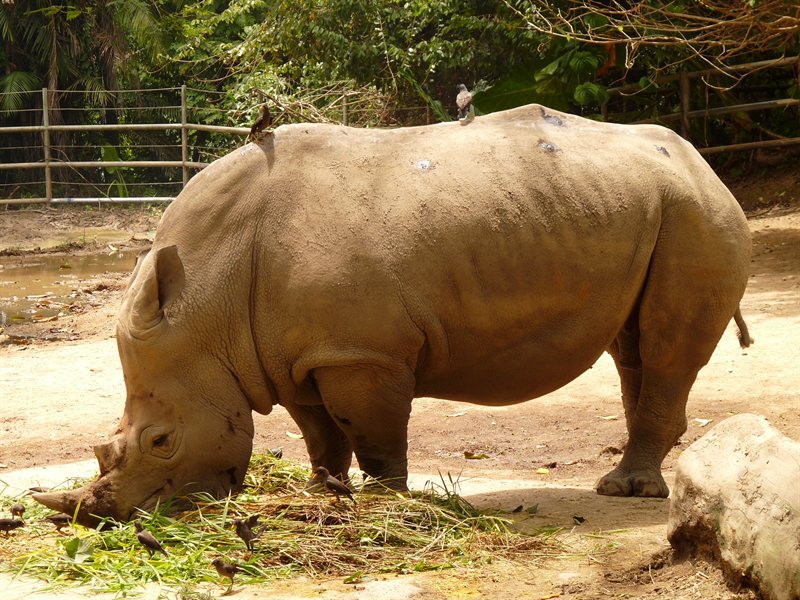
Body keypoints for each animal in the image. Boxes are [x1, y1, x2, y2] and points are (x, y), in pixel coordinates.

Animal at [34, 104, 751, 525]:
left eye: (161, 442)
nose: (96, 516)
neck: (206, 307)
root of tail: (701, 161)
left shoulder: (360, 353)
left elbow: (375, 433)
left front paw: (384, 500)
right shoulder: (293, 355)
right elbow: (319, 432)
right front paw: (327, 490)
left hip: (696, 213)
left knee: (662, 350)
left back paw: (628, 493)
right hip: (652, 207)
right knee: (632, 349)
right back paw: (625, 480)